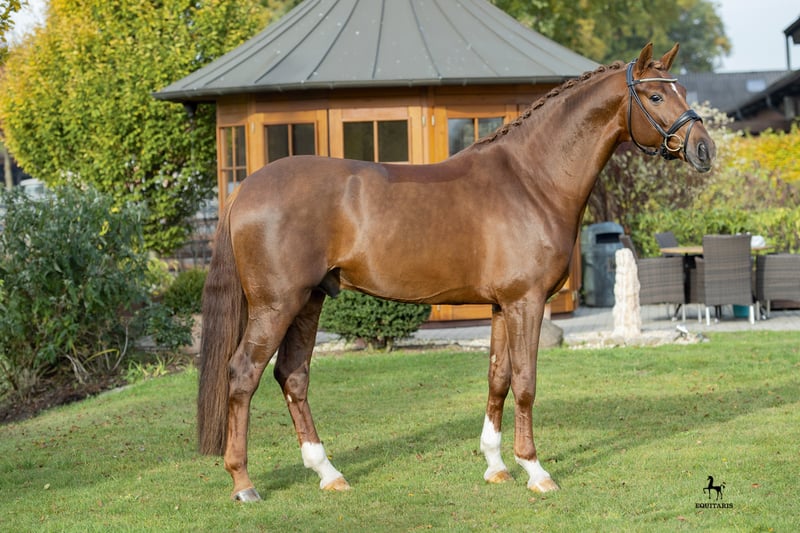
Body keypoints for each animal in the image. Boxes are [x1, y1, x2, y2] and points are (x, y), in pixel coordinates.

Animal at [198, 43, 715, 501]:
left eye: (684, 89)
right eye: (655, 97)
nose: (704, 149)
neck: (531, 181)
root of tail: (245, 189)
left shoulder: (501, 306)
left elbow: (498, 379)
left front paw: (496, 465)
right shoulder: (526, 303)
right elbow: (526, 383)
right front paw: (536, 471)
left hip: (309, 300)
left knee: (293, 376)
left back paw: (329, 473)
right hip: (276, 305)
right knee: (243, 374)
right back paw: (243, 483)